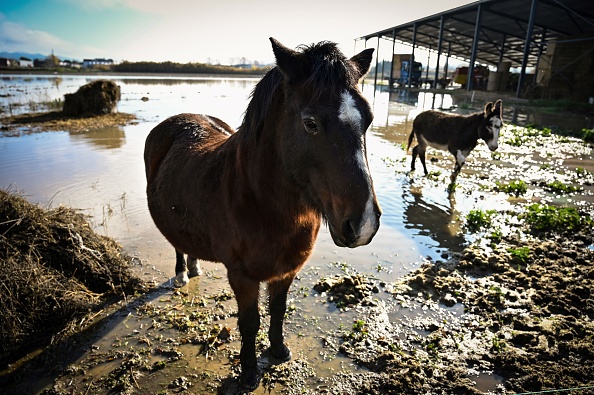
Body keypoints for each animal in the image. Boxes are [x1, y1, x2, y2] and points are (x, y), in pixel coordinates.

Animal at [146, 38, 382, 392]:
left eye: (367, 119)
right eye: (310, 123)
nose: (363, 224)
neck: (260, 204)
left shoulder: (286, 271)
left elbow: (278, 311)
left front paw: (279, 350)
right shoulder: (242, 276)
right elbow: (249, 323)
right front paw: (247, 372)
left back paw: (195, 266)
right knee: (176, 244)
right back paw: (181, 274)